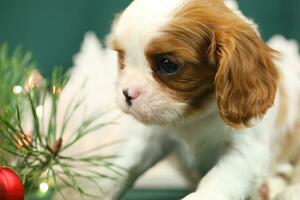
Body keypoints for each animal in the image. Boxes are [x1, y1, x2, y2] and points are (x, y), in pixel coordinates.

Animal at [105, 0, 300, 200]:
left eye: (168, 65)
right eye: (122, 59)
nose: (127, 93)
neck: (195, 115)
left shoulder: (245, 148)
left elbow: (221, 177)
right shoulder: (153, 137)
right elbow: (125, 164)